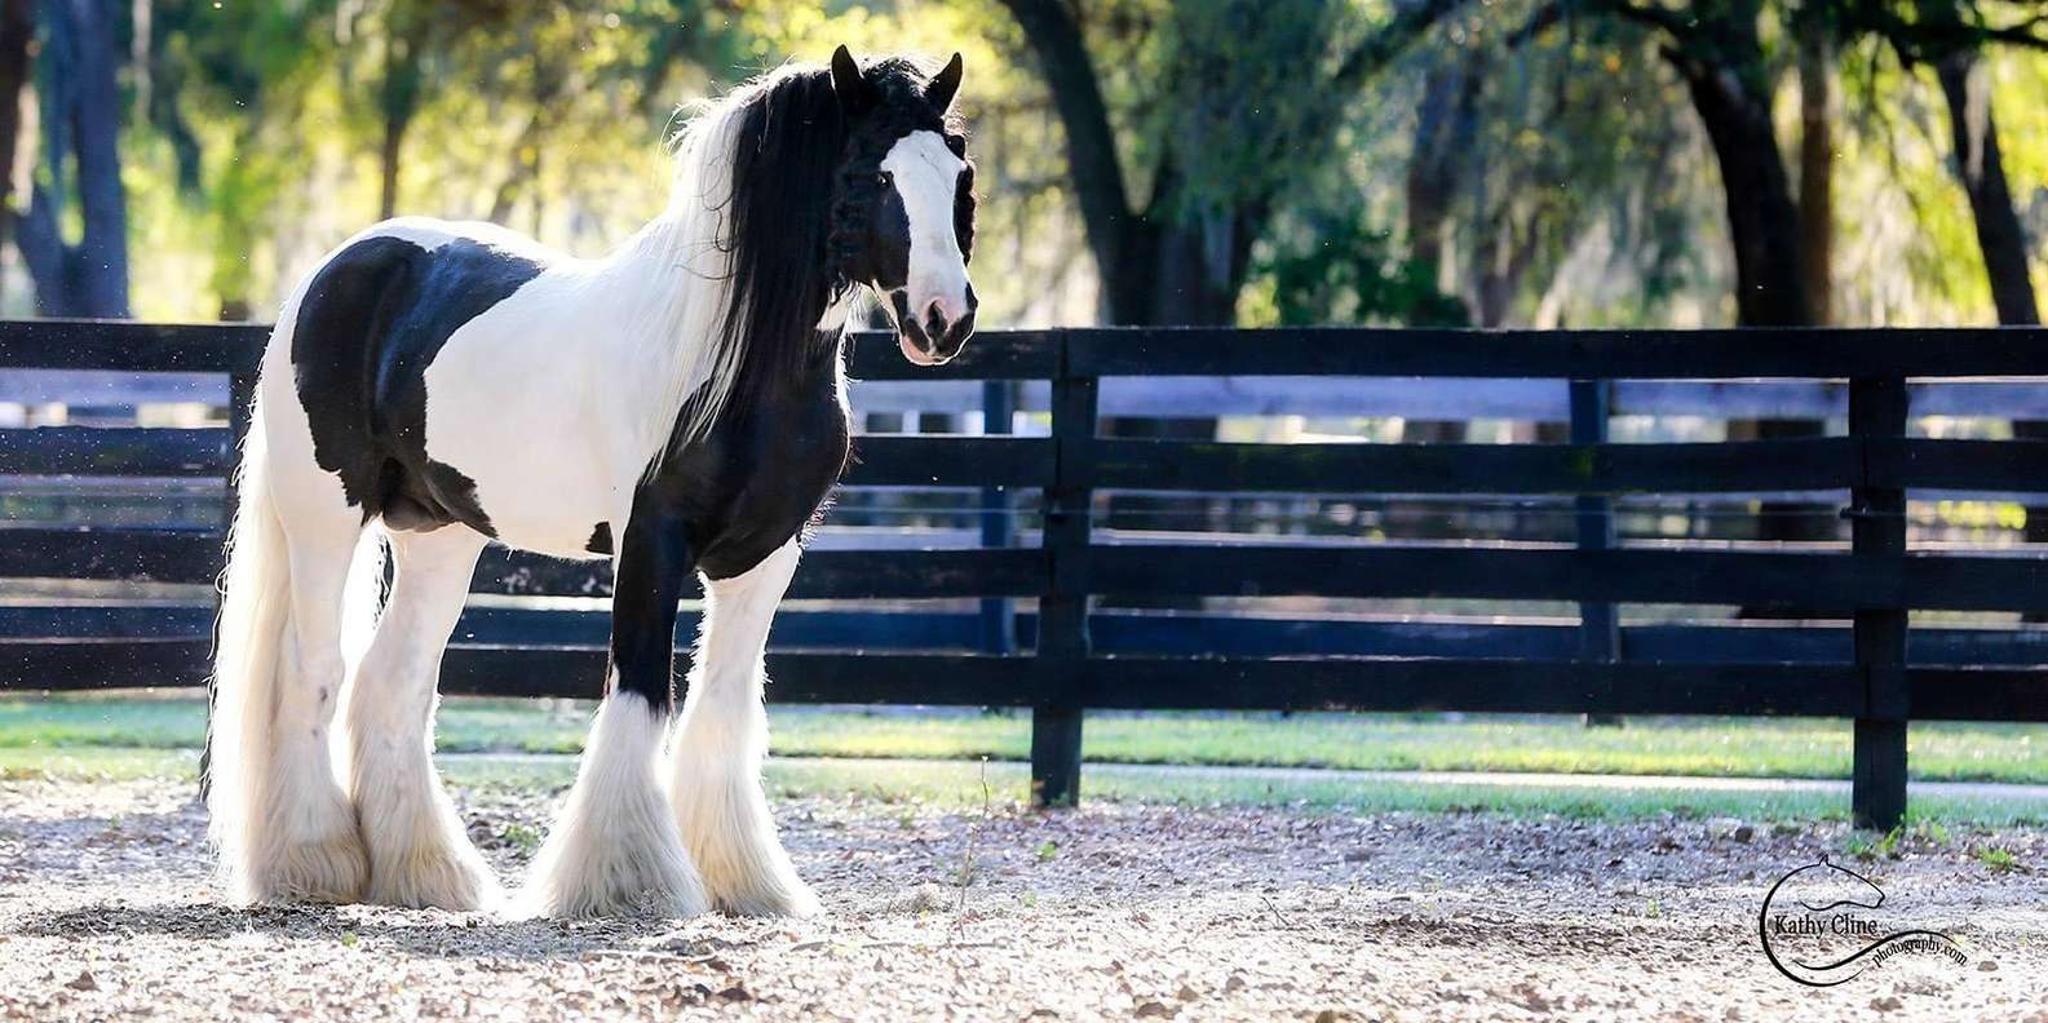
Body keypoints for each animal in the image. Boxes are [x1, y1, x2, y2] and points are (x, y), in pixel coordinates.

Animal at [207, 47, 978, 919]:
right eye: (875, 176)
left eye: (958, 172)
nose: (944, 319)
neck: (739, 365)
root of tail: (333, 271)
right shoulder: (650, 542)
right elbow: (639, 694)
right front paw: (626, 880)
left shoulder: (766, 554)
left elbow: (721, 705)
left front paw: (745, 880)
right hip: (324, 517)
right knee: (315, 672)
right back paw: (311, 863)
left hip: (439, 534)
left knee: (391, 683)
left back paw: (428, 875)